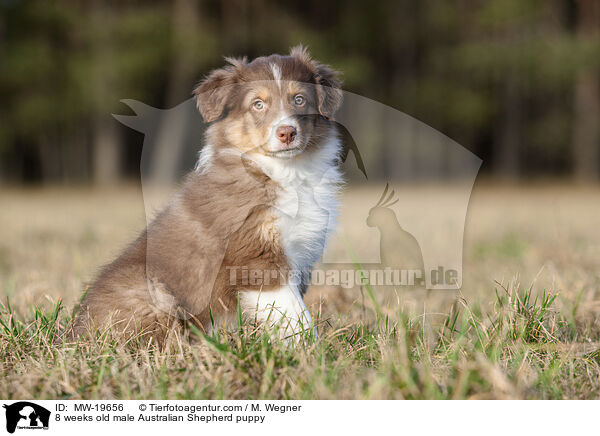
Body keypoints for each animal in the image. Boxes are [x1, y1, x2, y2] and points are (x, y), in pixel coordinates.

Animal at [73, 46, 344, 342]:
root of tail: (73, 332)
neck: (286, 172)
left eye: (299, 99)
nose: (287, 133)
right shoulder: (259, 258)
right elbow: (297, 317)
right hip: (148, 291)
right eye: (258, 104)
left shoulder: (302, 253)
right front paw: (312, 350)